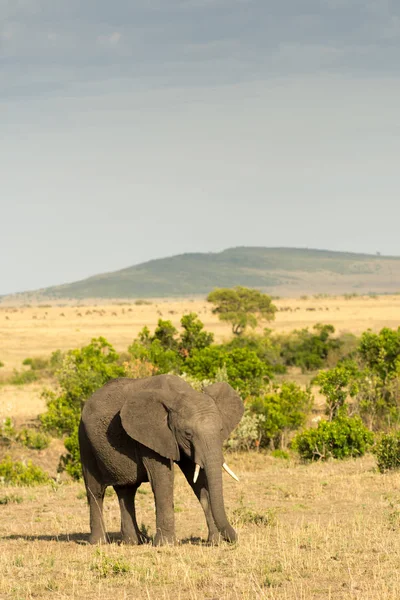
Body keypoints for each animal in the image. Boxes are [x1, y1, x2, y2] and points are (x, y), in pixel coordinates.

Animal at [79, 376, 244, 548]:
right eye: (188, 433)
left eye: (220, 430)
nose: (233, 539)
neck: (179, 394)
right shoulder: (151, 435)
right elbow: (162, 479)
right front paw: (166, 544)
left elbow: (197, 480)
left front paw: (215, 542)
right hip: (85, 441)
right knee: (95, 491)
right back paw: (99, 543)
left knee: (127, 491)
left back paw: (134, 542)